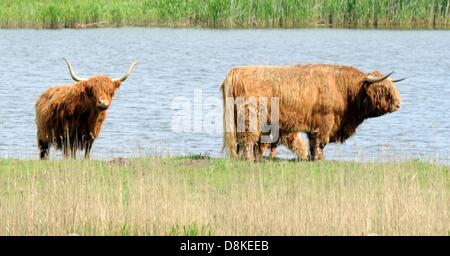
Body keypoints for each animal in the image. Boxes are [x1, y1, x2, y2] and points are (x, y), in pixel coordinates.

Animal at [221, 64, 404, 160]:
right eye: (383, 89)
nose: (398, 104)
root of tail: (237, 71)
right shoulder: (324, 122)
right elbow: (319, 144)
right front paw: (318, 159)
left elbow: (311, 143)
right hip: (252, 119)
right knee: (248, 141)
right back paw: (250, 160)